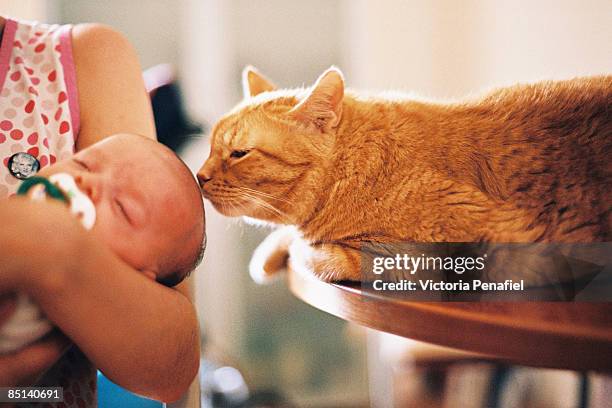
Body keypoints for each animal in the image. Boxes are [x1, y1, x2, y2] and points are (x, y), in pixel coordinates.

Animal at [198, 67, 608, 284]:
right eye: (211, 148)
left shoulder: (421, 258)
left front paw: (296, 247)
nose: (199, 176)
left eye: (238, 153)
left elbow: (315, 254)